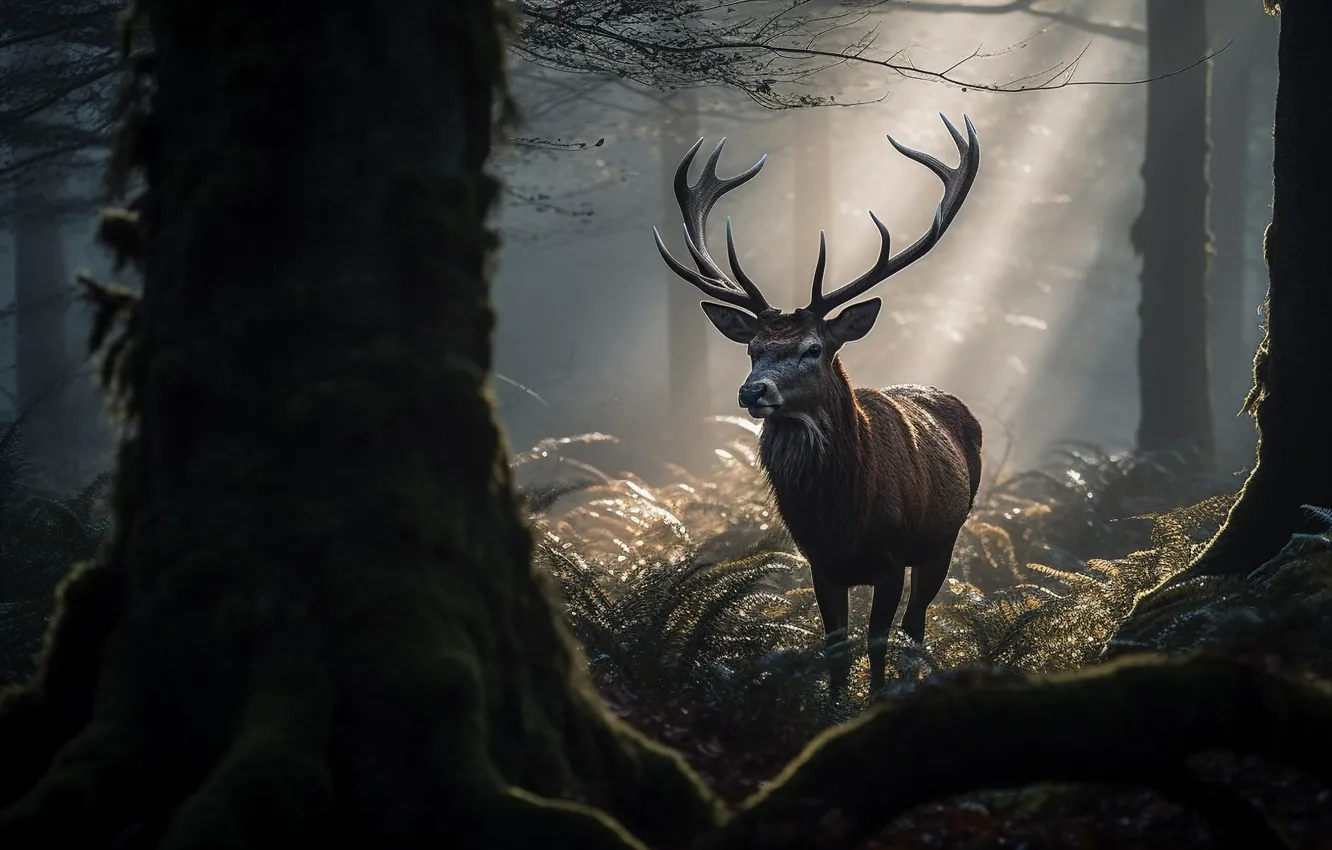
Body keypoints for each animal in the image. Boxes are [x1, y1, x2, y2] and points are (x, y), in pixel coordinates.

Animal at [652, 114, 984, 701]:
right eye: (753, 349)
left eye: (813, 349)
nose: (752, 391)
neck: (843, 514)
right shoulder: (819, 563)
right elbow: (835, 652)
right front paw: (830, 709)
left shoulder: (891, 558)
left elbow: (877, 646)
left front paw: (872, 702)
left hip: (943, 539)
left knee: (916, 628)